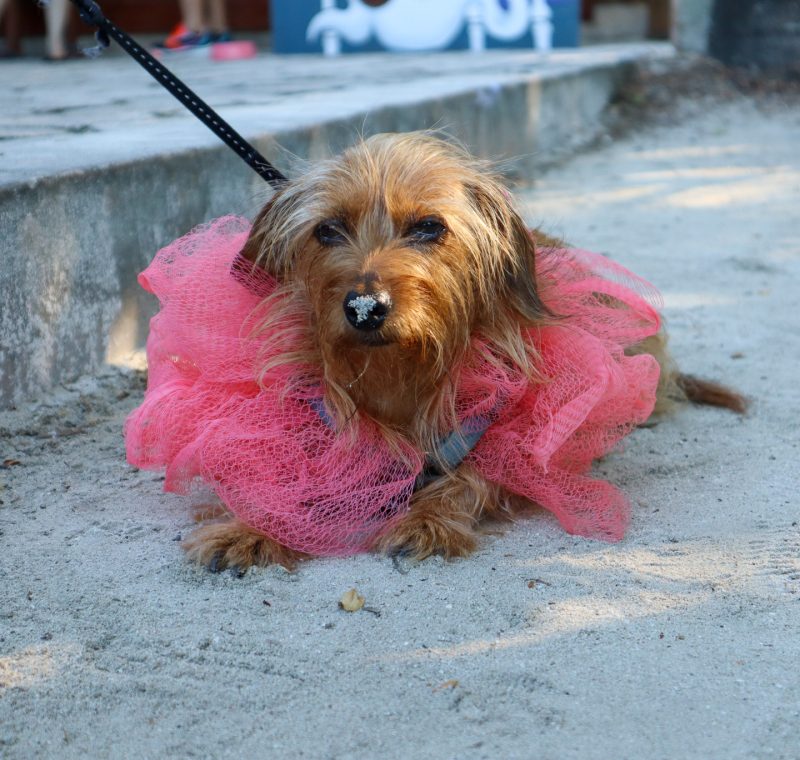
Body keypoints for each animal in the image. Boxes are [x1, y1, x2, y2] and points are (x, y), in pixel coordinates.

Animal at [138, 132, 744, 568]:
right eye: (327, 230)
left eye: (429, 227)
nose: (365, 307)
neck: (396, 368)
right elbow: (282, 483)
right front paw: (250, 528)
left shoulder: (498, 432)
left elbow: (471, 481)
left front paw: (427, 521)